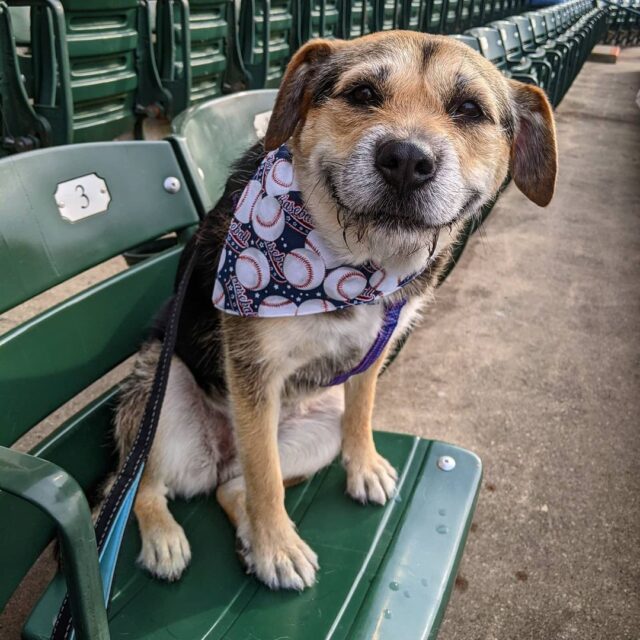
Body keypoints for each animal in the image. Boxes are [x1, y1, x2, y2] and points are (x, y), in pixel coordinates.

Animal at [114, 30, 556, 592]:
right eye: (363, 94)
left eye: (469, 109)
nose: (406, 159)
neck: (357, 265)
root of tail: (219, 456)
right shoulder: (253, 370)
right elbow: (263, 476)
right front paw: (277, 549)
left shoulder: (373, 350)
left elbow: (360, 412)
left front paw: (362, 467)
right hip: (161, 385)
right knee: (137, 485)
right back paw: (167, 538)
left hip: (316, 431)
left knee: (230, 488)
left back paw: (246, 533)